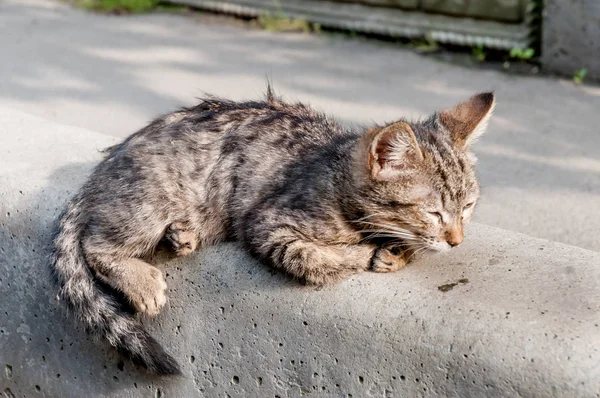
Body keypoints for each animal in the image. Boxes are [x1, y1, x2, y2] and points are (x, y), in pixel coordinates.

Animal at [50, 88, 492, 376]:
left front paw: (398, 251)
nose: (457, 240)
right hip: (153, 197)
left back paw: (182, 235)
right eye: (433, 212)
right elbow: (312, 258)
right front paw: (366, 252)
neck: (335, 178)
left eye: (468, 207)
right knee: (96, 242)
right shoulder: (267, 223)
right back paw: (139, 278)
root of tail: (102, 169)